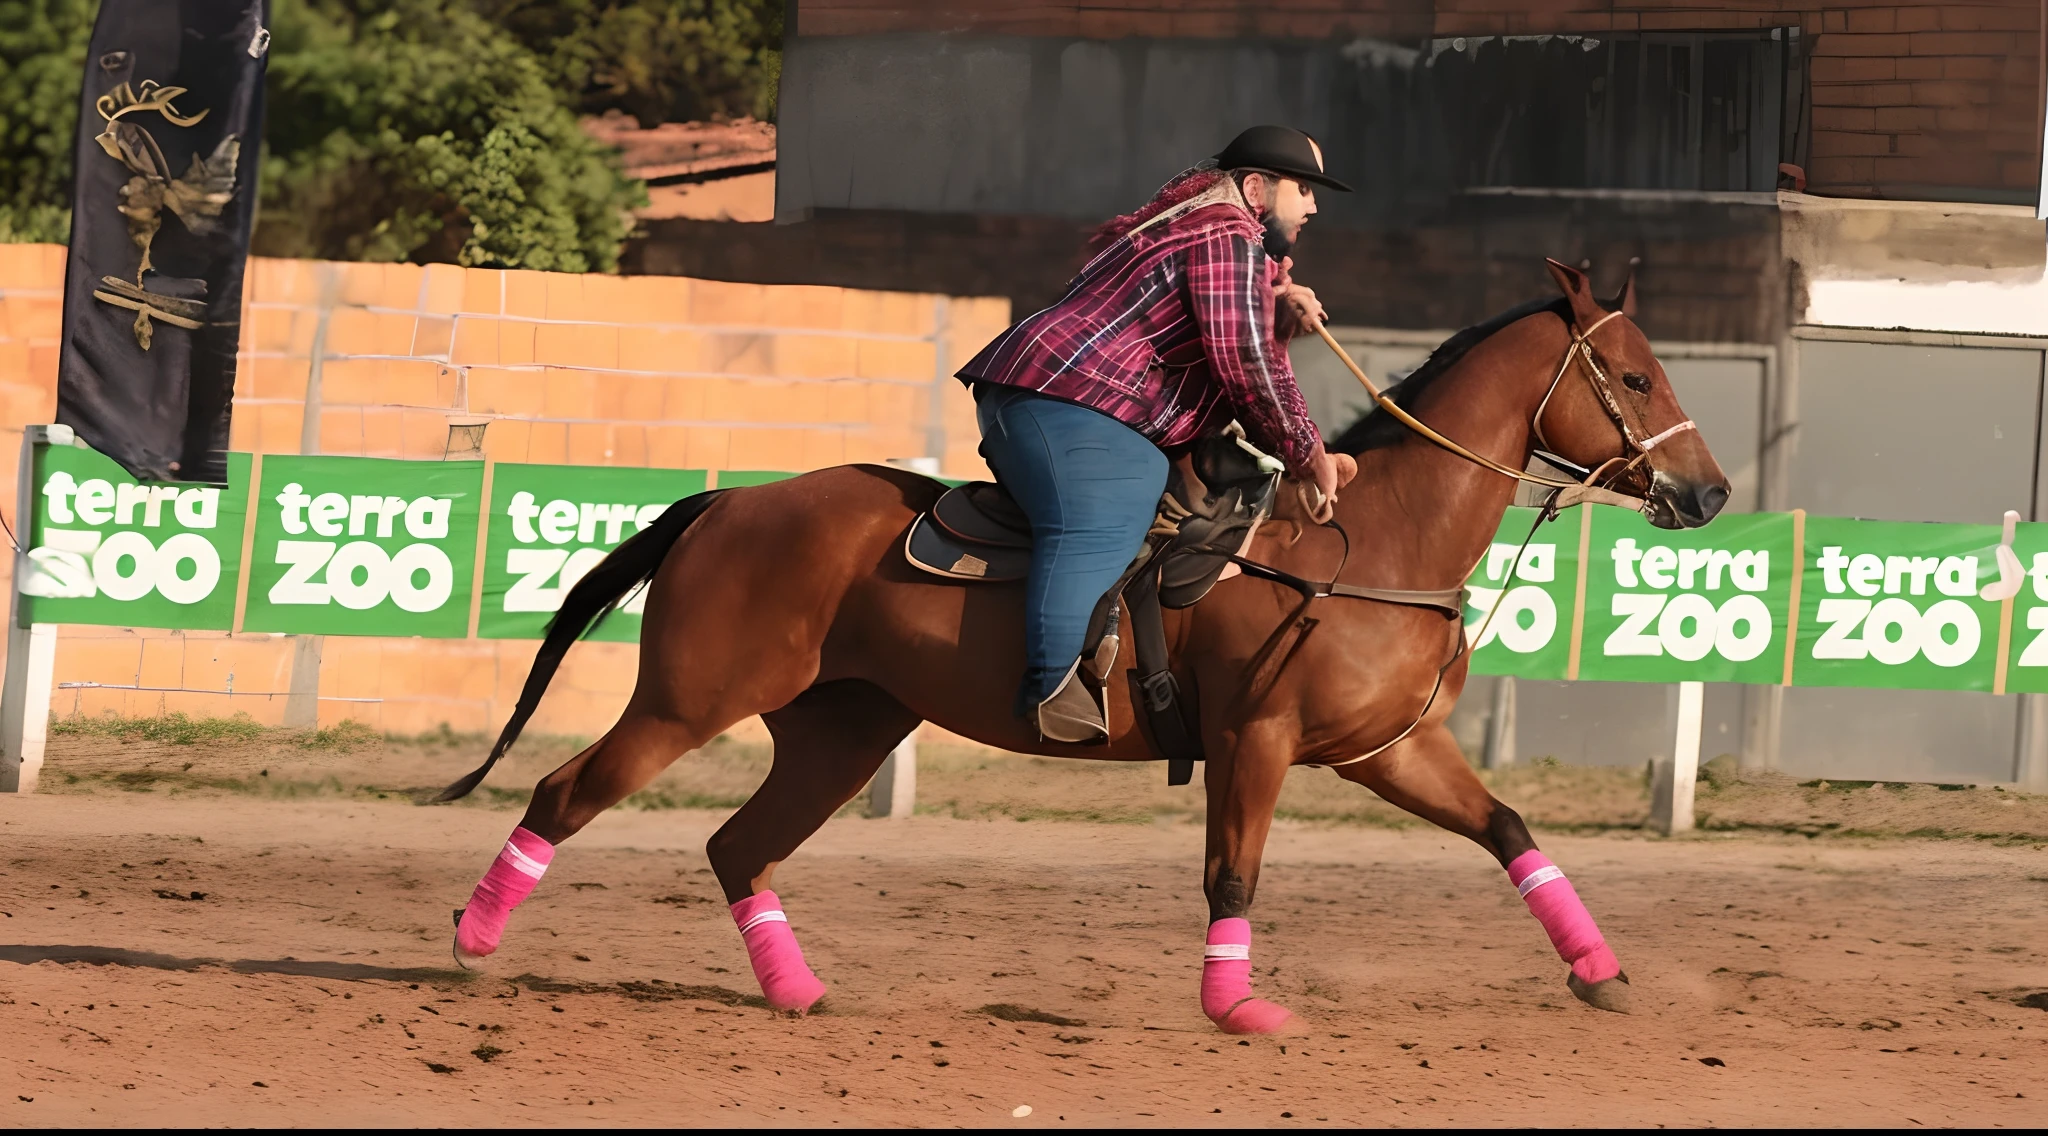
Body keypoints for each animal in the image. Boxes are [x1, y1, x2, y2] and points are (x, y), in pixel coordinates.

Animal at [444, 261, 1728, 1035]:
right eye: (1631, 372)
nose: (1709, 492)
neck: (1369, 538)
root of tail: (733, 501)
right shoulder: (1253, 740)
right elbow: (1231, 874)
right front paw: (1237, 1008)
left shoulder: (1388, 751)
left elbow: (1509, 829)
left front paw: (1599, 970)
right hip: (684, 701)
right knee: (564, 792)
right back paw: (470, 939)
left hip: (840, 730)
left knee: (734, 845)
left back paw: (797, 988)